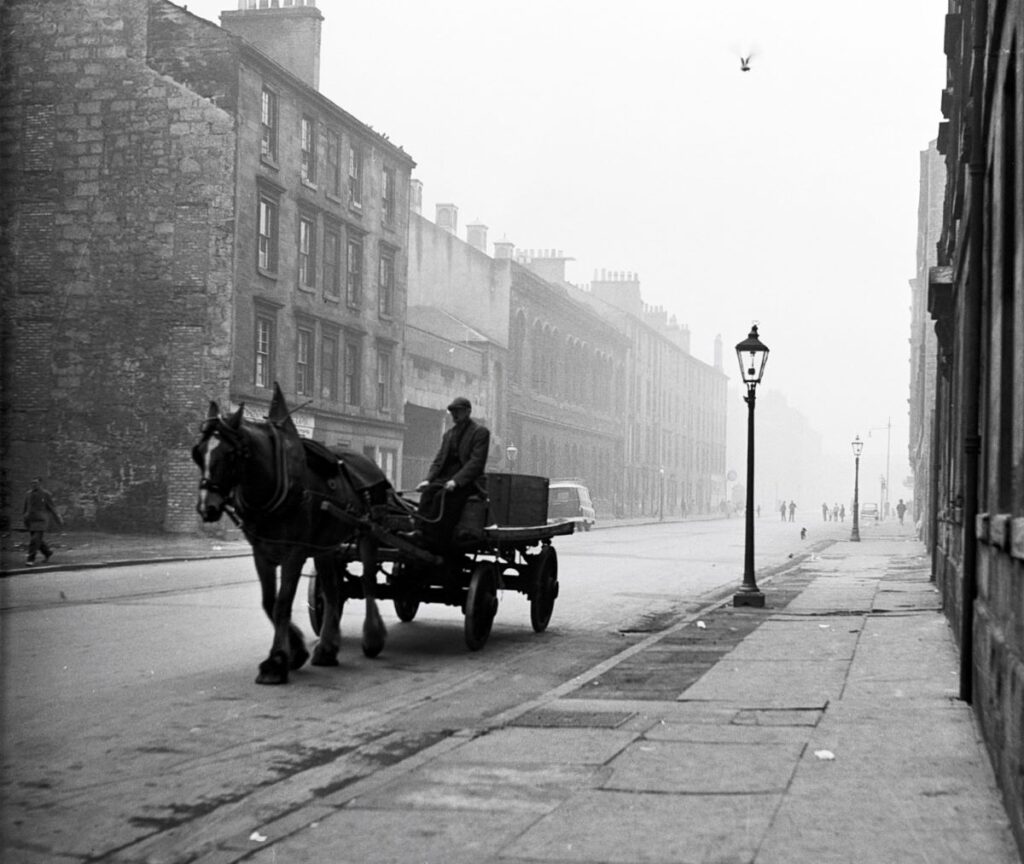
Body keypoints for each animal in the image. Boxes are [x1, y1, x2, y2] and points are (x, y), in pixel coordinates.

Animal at [192, 384, 387, 679]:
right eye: (198, 452)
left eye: (230, 454)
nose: (207, 507)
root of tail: (369, 462)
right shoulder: (261, 551)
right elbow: (269, 602)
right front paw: (295, 650)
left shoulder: (294, 552)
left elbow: (282, 602)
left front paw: (276, 660)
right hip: (326, 545)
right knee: (332, 591)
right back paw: (327, 649)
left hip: (367, 535)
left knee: (367, 582)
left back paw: (372, 636)